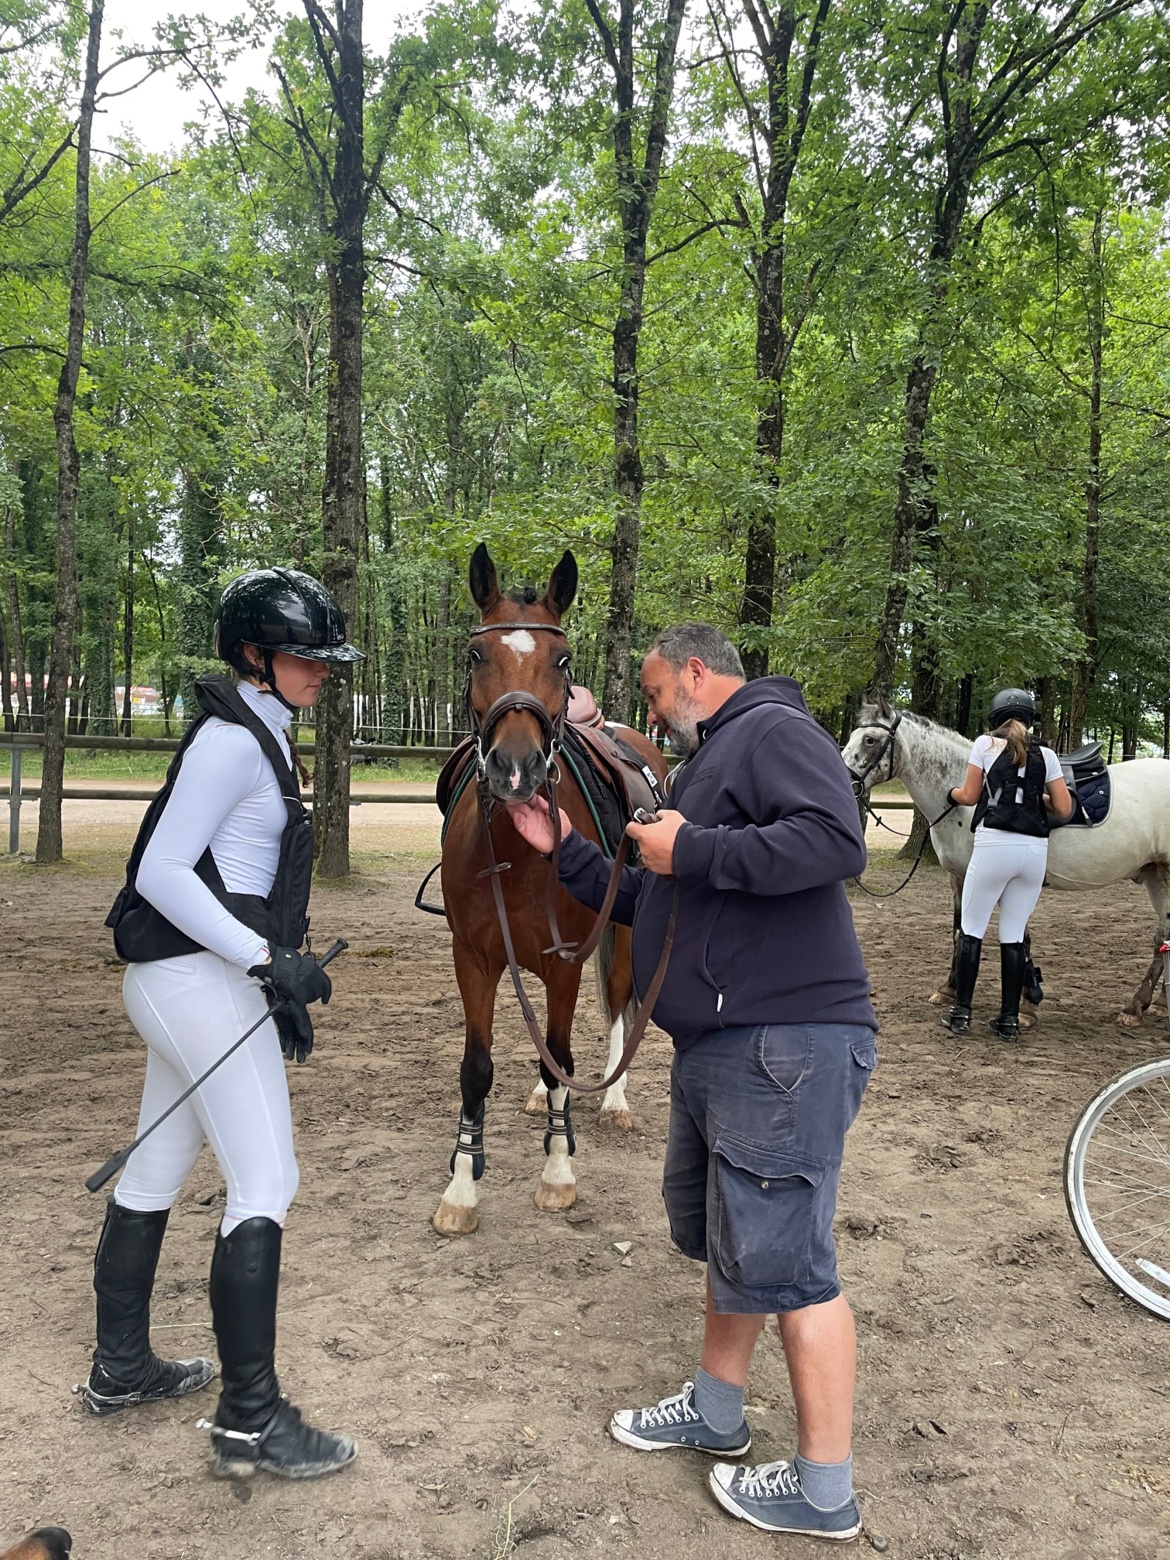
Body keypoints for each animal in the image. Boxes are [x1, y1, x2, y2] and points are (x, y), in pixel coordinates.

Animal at [433, 542, 667, 1235]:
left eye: (561, 661)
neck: (517, 854)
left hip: (620, 930)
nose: (516, 769)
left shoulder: (566, 961)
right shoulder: (474, 957)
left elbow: (560, 1049)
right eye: (475, 656)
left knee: (617, 1001)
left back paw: (612, 1100)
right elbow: (477, 1069)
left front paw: (559, 1173)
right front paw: (461, 1187)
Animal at [842, 698, 1170, 1023]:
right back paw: (1154, 1004)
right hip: (1155, 874)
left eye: (869, 739)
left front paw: (1025, 1006)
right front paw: (949, 989)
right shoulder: (959, 877)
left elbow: (1017, 938)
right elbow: (960, 931)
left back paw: (1134, 1008)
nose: (845, 782)